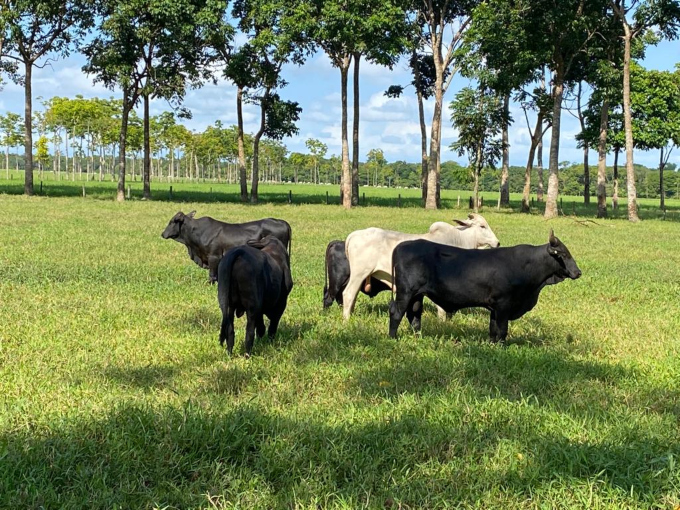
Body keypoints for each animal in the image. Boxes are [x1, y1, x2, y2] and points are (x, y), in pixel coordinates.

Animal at [342, 214, 496, 318]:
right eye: (482, 226)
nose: (497, 242)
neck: (458, 239)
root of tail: (355, 234)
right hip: (359, 273)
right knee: (348, 294)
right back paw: (346, 319)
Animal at [388, 231, 580, 342]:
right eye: (563, 254)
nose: (578, 272)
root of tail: (402, 245)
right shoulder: (504, 304)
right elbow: (502, 329)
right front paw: (502, 346)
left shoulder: (495, 307)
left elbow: (493, 329)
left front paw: (492, 345)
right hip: (405, 292)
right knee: (397, 313)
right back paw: (393, 338)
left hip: (417, 295)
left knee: (414, 316)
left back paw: (418, 338)